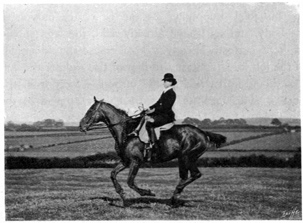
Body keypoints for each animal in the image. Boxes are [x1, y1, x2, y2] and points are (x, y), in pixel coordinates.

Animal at [79, 97, 227, 207]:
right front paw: (123, 197)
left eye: (91, 110)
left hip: (187, 157)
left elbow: (130, 181)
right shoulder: (125, 161)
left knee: (195, 174)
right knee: (186, 176)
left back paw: (175, 194)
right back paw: (174, 198)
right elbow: (113, 174)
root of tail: (203, 133)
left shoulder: (136, 161)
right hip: (184, 159)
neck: (127, 131)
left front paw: (147, 193)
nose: (81, 126)